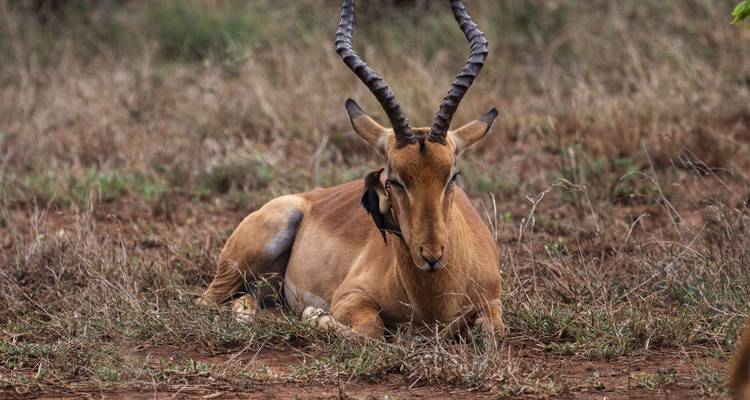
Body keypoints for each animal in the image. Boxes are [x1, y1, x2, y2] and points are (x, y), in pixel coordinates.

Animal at [196, 0, 505, 340]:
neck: (434, 301)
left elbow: (491, 332)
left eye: (452, 175)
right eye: (393, 180)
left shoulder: (492, 303)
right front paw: (315, 316)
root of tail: (305, 198)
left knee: (248, 298)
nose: (431, 255)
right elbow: (371, 330)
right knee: (208, 303)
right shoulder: (350, 297)